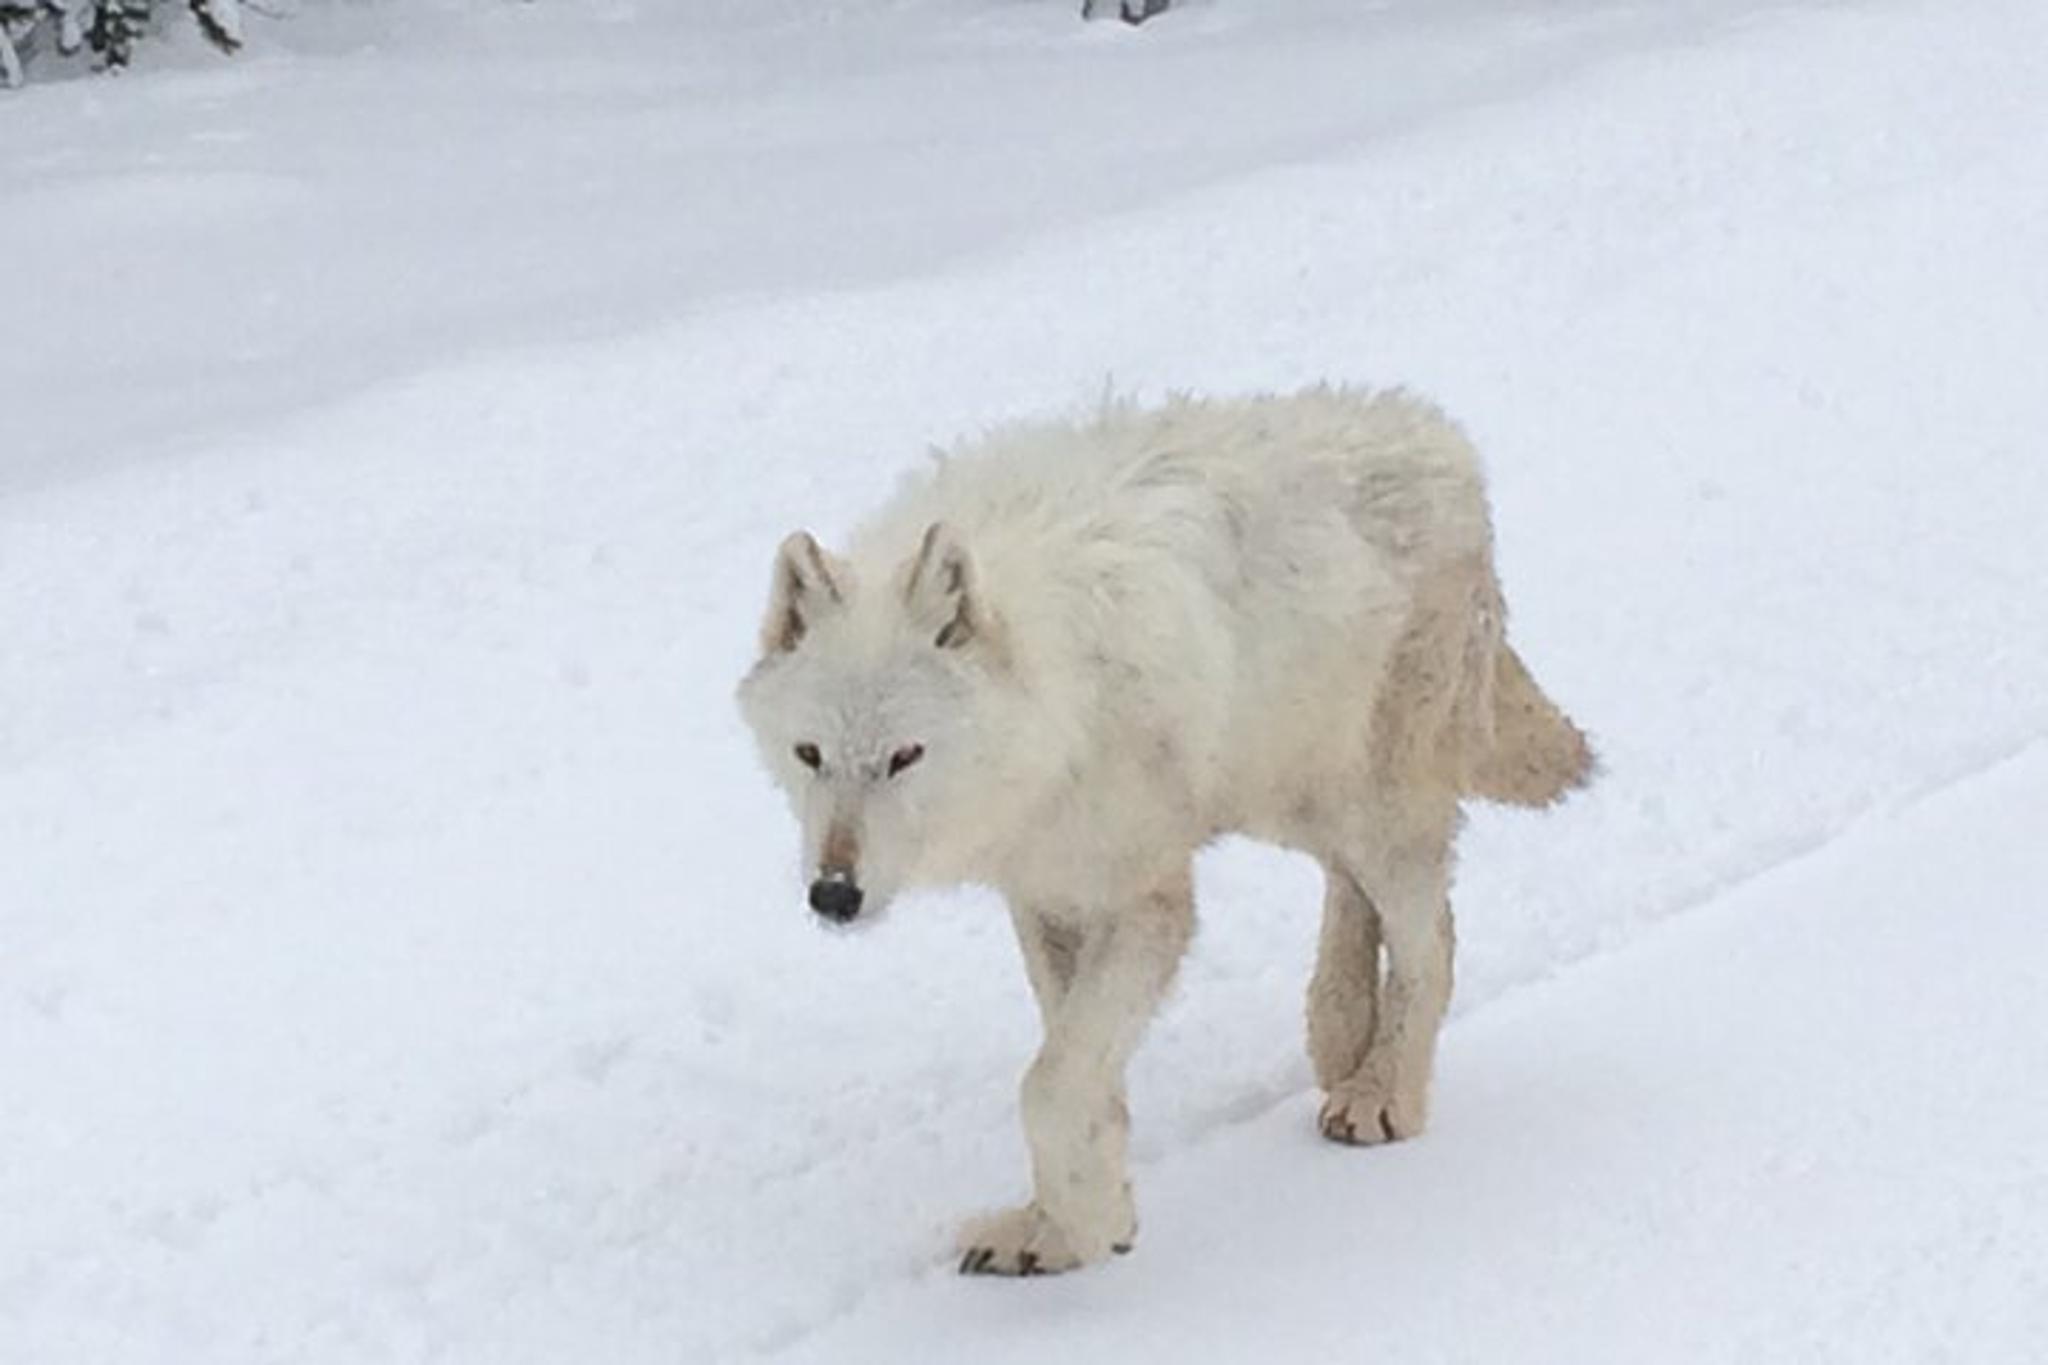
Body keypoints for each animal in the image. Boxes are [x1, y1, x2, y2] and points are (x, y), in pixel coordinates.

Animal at [736, 386, 1592, 1276]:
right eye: (810, 754)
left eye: (905, 756)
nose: (834, 894)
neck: (1056, 707)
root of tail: (1445, 436)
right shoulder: (1045, 896)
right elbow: (1082, 1074)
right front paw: (1072, 1225)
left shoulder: (1146, 902)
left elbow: (1049, 1085)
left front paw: (1078, 1225)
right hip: (1293, 798)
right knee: (1353, 891)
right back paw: (1338, 1035)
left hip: (1373, 809)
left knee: (1435, 936)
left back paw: (1381, 1090)